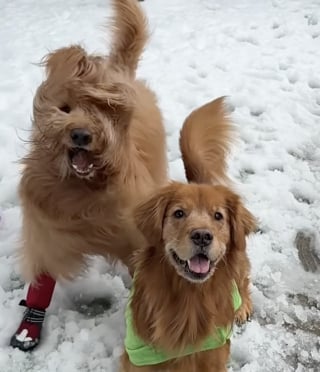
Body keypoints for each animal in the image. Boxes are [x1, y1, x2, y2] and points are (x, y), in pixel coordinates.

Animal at [9, 0, 168, 350]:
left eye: (104, 108)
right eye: (65, 108)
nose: (80, 135)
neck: (83, 188)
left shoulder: (132, 233)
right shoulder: (48, 229)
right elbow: (41, 281)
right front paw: (28, 330)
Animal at [119, 97, 256, 370]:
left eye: (218, 216)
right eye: (179, 213)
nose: (202, 236)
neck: (188, 298)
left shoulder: (214, 352)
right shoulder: (138, 355)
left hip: (238, 262)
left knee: (243, 280)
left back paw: (242, 306)